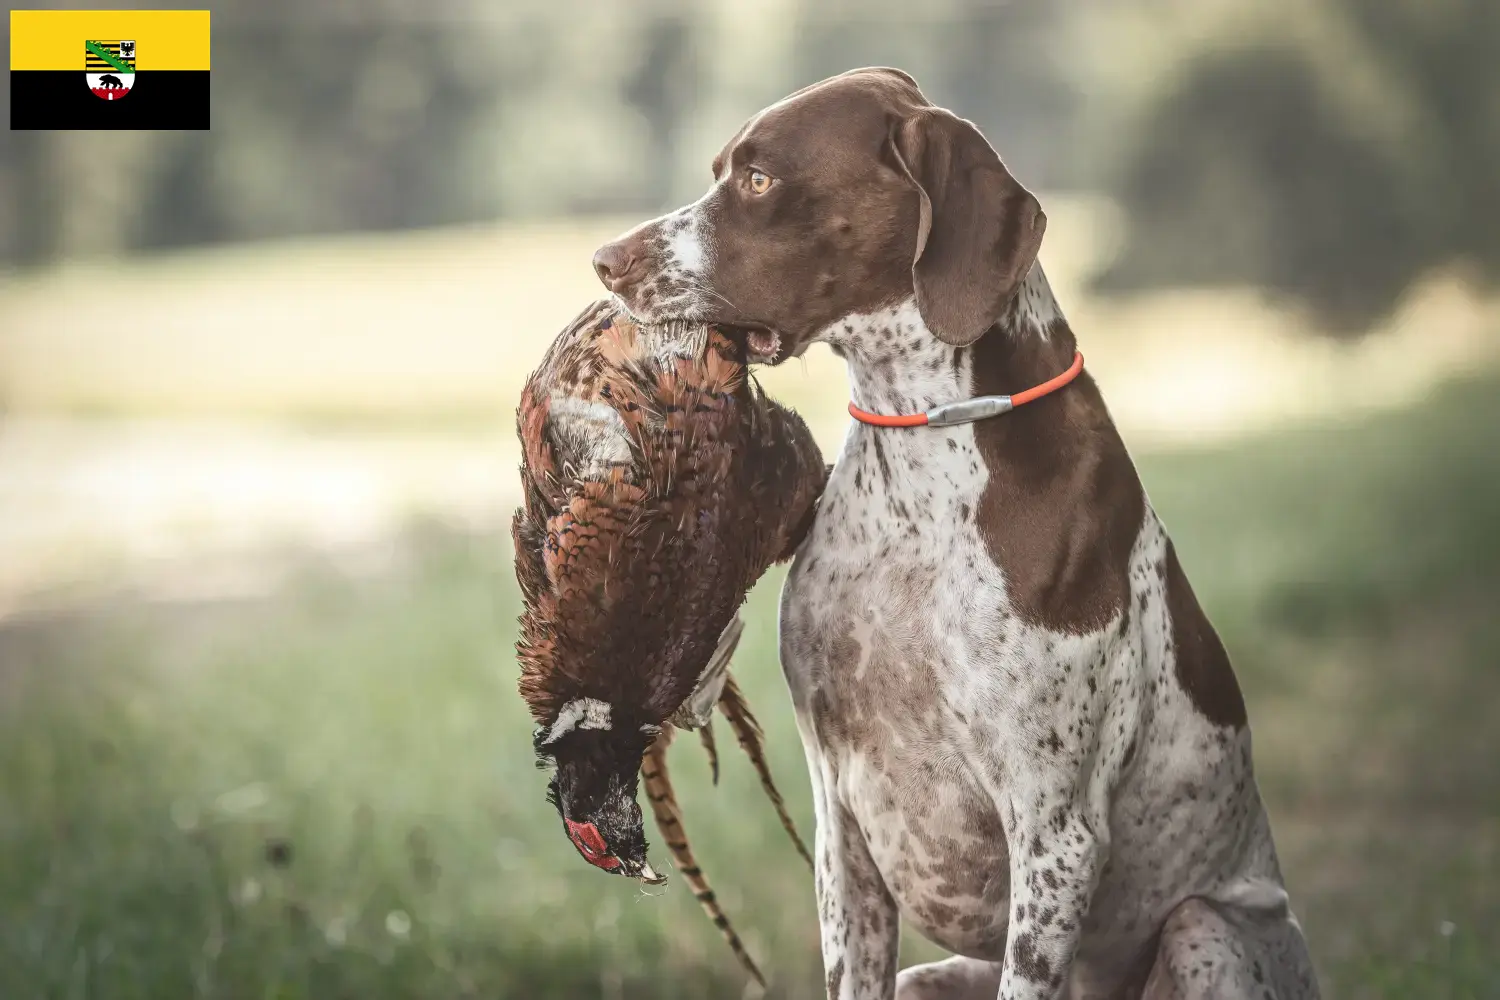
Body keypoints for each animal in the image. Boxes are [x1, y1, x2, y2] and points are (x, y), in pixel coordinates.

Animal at [591, 68, 1320, 1000]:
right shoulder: (841, 825)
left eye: (757, 179)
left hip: (1206, 933)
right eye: (724, 170)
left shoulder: (1053, 835)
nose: (605, 260)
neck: (922, 455)